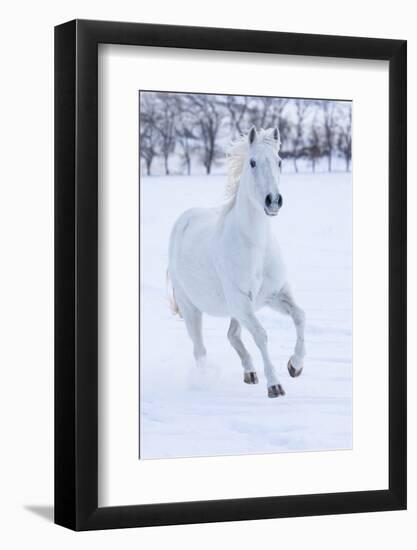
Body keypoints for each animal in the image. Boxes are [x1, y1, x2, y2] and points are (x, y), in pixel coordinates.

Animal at [167, 127, 306, 398]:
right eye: (252, 162)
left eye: (280, 161)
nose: (273, 200)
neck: (255, 248)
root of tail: (183, 219)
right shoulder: (242, 302)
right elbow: (261, 335)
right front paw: (275, 385)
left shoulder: (273, 296)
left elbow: (300, 316)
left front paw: (295, 366)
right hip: (192, 308)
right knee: (200, 350)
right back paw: (204, 381)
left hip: (235, 309)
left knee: (232, 335)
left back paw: (249, 373)